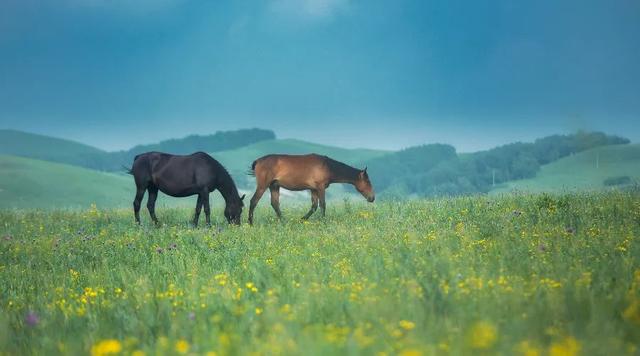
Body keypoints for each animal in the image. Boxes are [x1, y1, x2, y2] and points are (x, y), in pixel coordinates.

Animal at [246, 154, 376, 225]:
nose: (372, 198)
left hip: (274, 186)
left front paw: (302, 220)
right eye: (368, 181)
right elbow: (323, 205)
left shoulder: (313, 189)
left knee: (275, 204)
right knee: (253, 201)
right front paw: (323, 221)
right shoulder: (320, 187)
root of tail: (258, 161)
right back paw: (250, 223)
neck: (327, 166)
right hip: (263, 185)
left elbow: (314, 206)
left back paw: (283, 221)